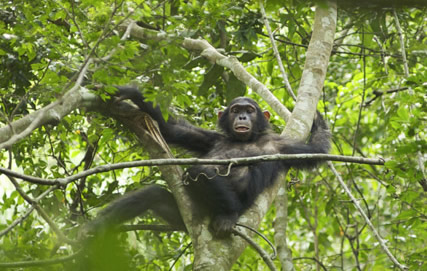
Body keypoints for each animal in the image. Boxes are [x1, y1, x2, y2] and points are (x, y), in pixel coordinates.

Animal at [89, 86, 332, 236]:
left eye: (250, 110)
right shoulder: (210, 139)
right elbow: (172, 130)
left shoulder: (282, 147)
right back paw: (94, 227)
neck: (244, 139)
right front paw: (131, 92)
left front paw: (317, 119)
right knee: (152, 195)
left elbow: (316, 152)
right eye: (235, 110)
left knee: (200, 172)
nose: (242, 116)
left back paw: (227, 216)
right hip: (184, 214)